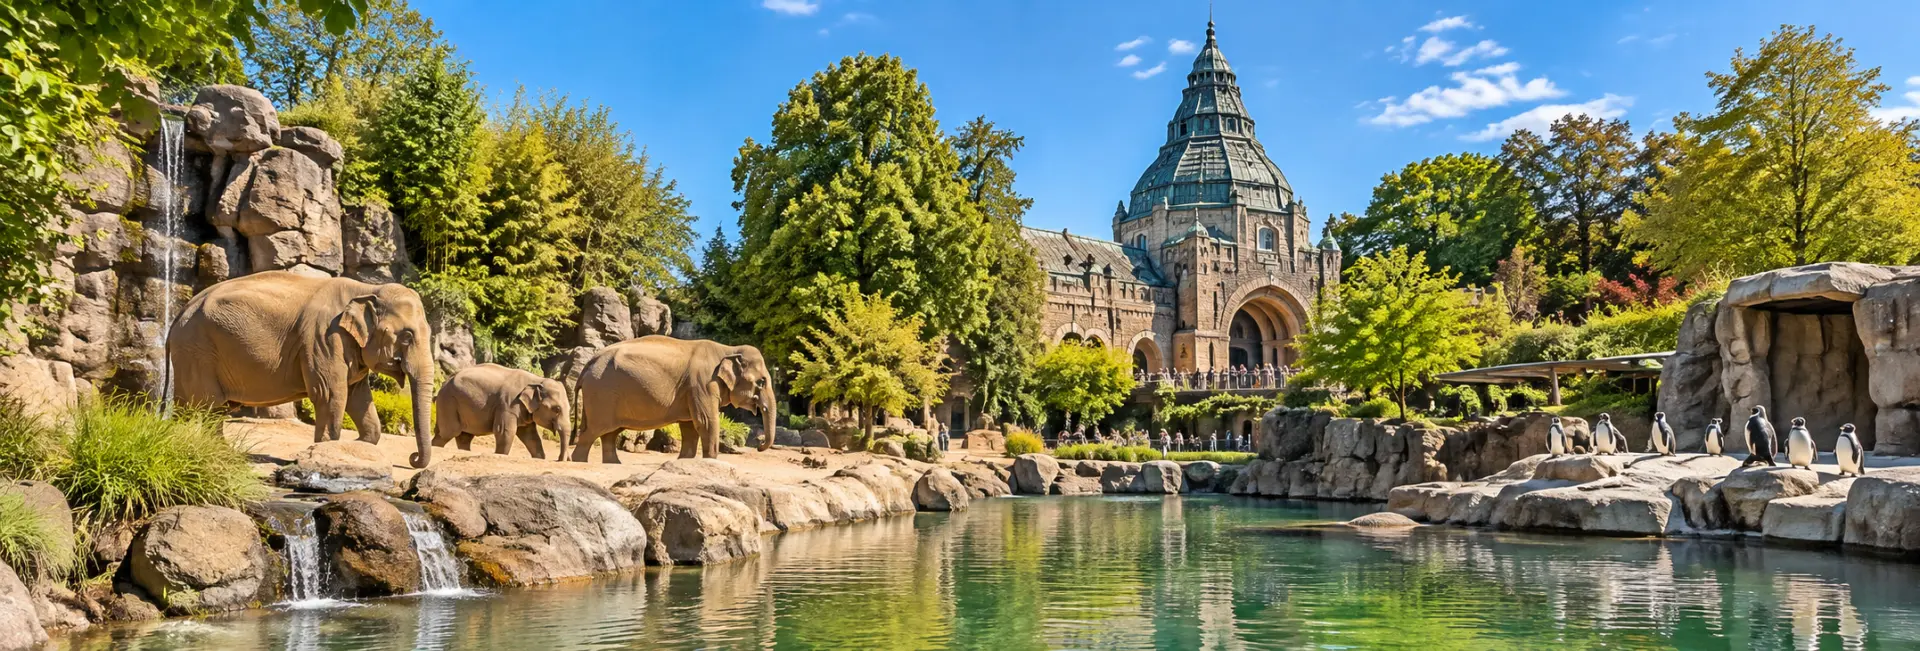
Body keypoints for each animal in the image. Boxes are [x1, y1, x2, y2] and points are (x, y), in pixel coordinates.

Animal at [167, 271, 437, 467]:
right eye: (407, 337)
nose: (412, 458)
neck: (366, 290)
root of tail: (178, 314)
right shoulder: (325, 337)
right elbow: (331, 394)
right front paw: (326, 451)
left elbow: (358, 396)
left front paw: (359, 446)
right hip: (198, 350)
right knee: (209, 407)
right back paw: (213, 450)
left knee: (194, 408)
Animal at [430, 364, 571, 459]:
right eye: (557, 409)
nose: (559, 459)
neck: (537, 380)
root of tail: (445, 382)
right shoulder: (508, 404)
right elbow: (505, 431)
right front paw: (500, 455)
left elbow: (531, 437)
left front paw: (539, 458)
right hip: (449, 402)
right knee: (449, 432)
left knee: (464, 437)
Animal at [571, 336, 775, 463]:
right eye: (762, 381)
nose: (759, 446)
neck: (728, 349)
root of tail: (588, 364)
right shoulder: (703, 384)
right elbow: (706, 421)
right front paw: (710, 461)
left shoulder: (694, 389)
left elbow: (690, 427)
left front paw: (685, 461)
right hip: (601, 394)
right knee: (593, 432)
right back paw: (579, 461)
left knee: (609, 433)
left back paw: (614, 464)